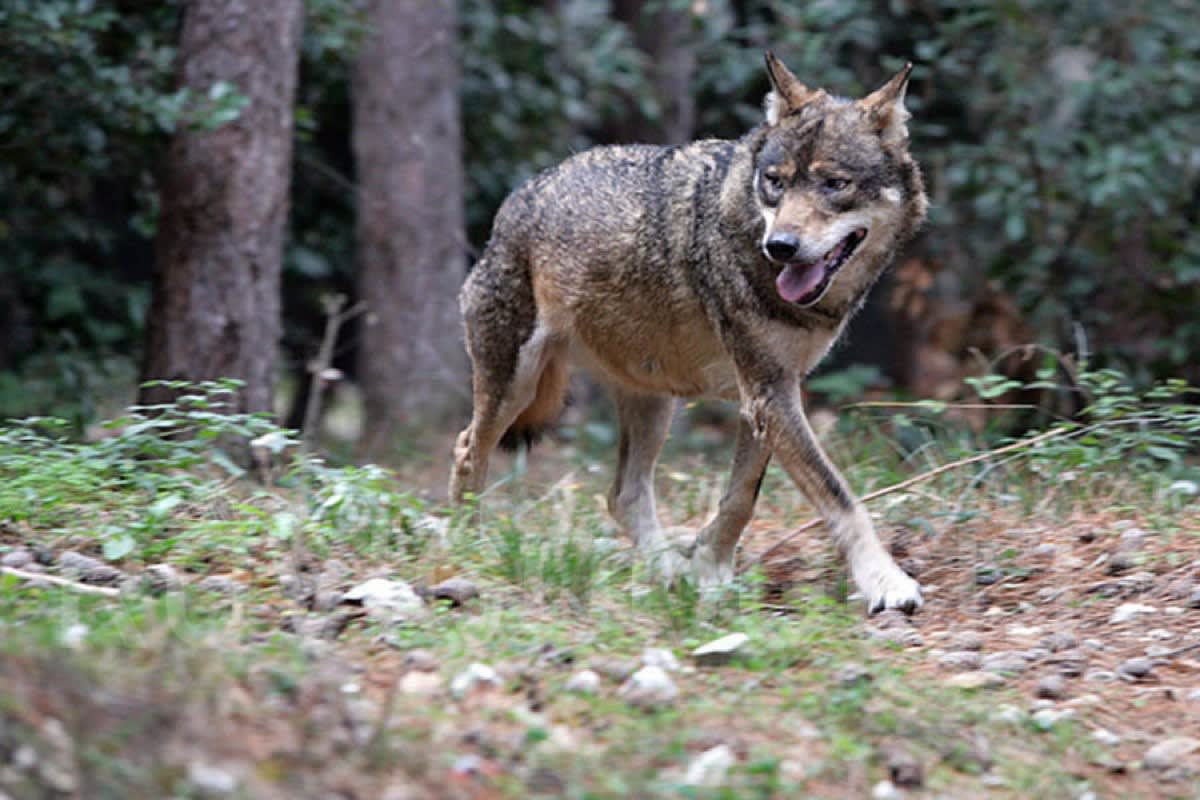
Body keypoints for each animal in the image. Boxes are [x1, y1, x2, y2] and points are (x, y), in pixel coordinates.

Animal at [450, 53, 927, 613]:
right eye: (776, 182)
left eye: (834, 184)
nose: (780, 246)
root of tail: (518, 198)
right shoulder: (769, 395)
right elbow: (840, 496)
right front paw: (886, 582)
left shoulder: (767, 396)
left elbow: (740, 498)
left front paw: (706, 569)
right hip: (516, 386)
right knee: (467, 450)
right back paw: (467, 546)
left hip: (654, 402)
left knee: (623, 495)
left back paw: (666, 573)